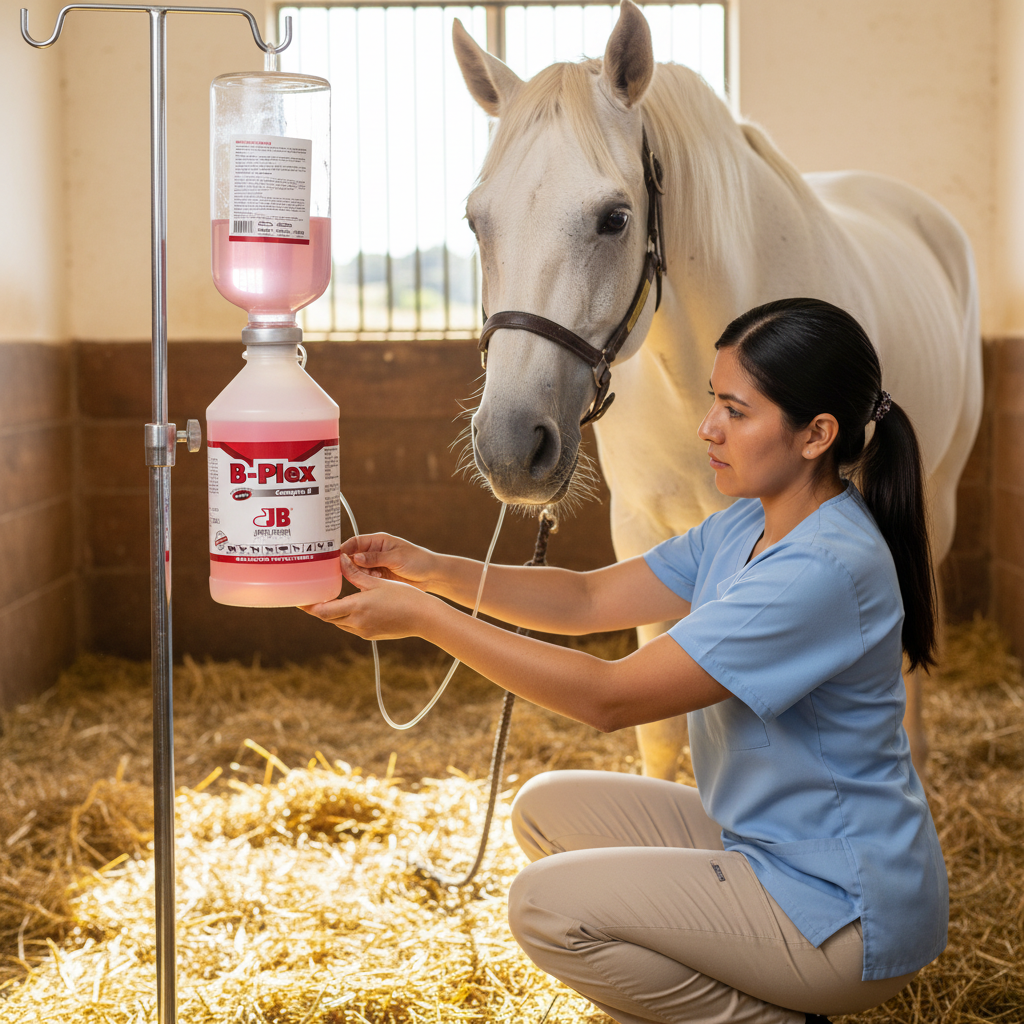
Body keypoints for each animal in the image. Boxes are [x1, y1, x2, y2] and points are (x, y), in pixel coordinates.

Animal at [452, 0, 982, 779]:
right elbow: (661, 732)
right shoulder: (643, 533)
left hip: (936, 497)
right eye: (475, 219)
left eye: (615, 218)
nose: (512, 447)